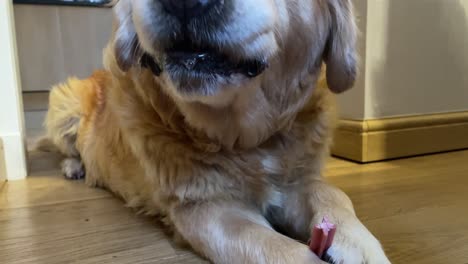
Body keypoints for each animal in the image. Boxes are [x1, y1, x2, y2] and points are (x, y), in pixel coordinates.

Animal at [41, 1, 392, 262]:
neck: (249, 140)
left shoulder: (299, 180)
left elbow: (332, 193)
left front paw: (358, 244)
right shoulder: (204, 208)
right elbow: (277, 247)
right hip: (63, 103)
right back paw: (75, 167)